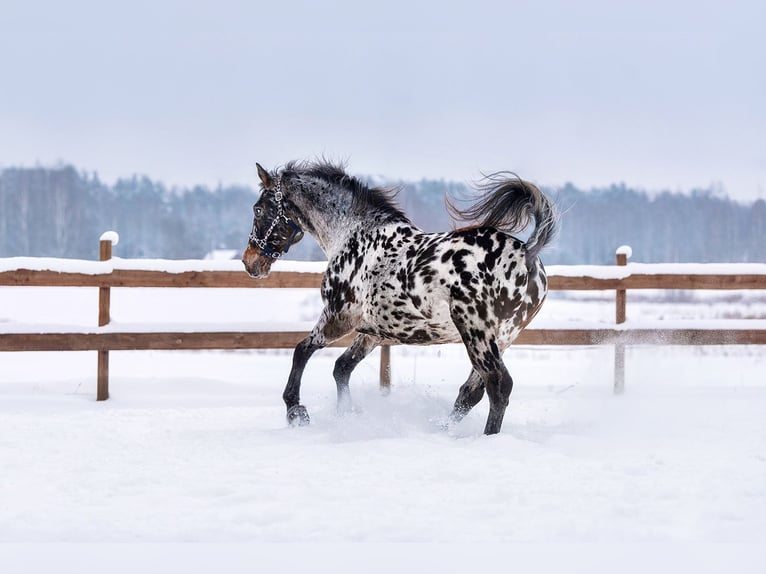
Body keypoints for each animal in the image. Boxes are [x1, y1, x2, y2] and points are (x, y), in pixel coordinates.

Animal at [242, 160, 557, 435]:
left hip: (476, 334)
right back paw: (440, 429)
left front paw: (296, 412)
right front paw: (346, 414)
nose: (250, 262)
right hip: (502, 338)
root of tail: (527, 253)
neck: (353, 234)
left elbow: (302, 351)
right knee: (472, 392)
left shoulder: (338, 317)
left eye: (258, 209)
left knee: (498, 386)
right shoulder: (374, 331)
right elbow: (341, 368)